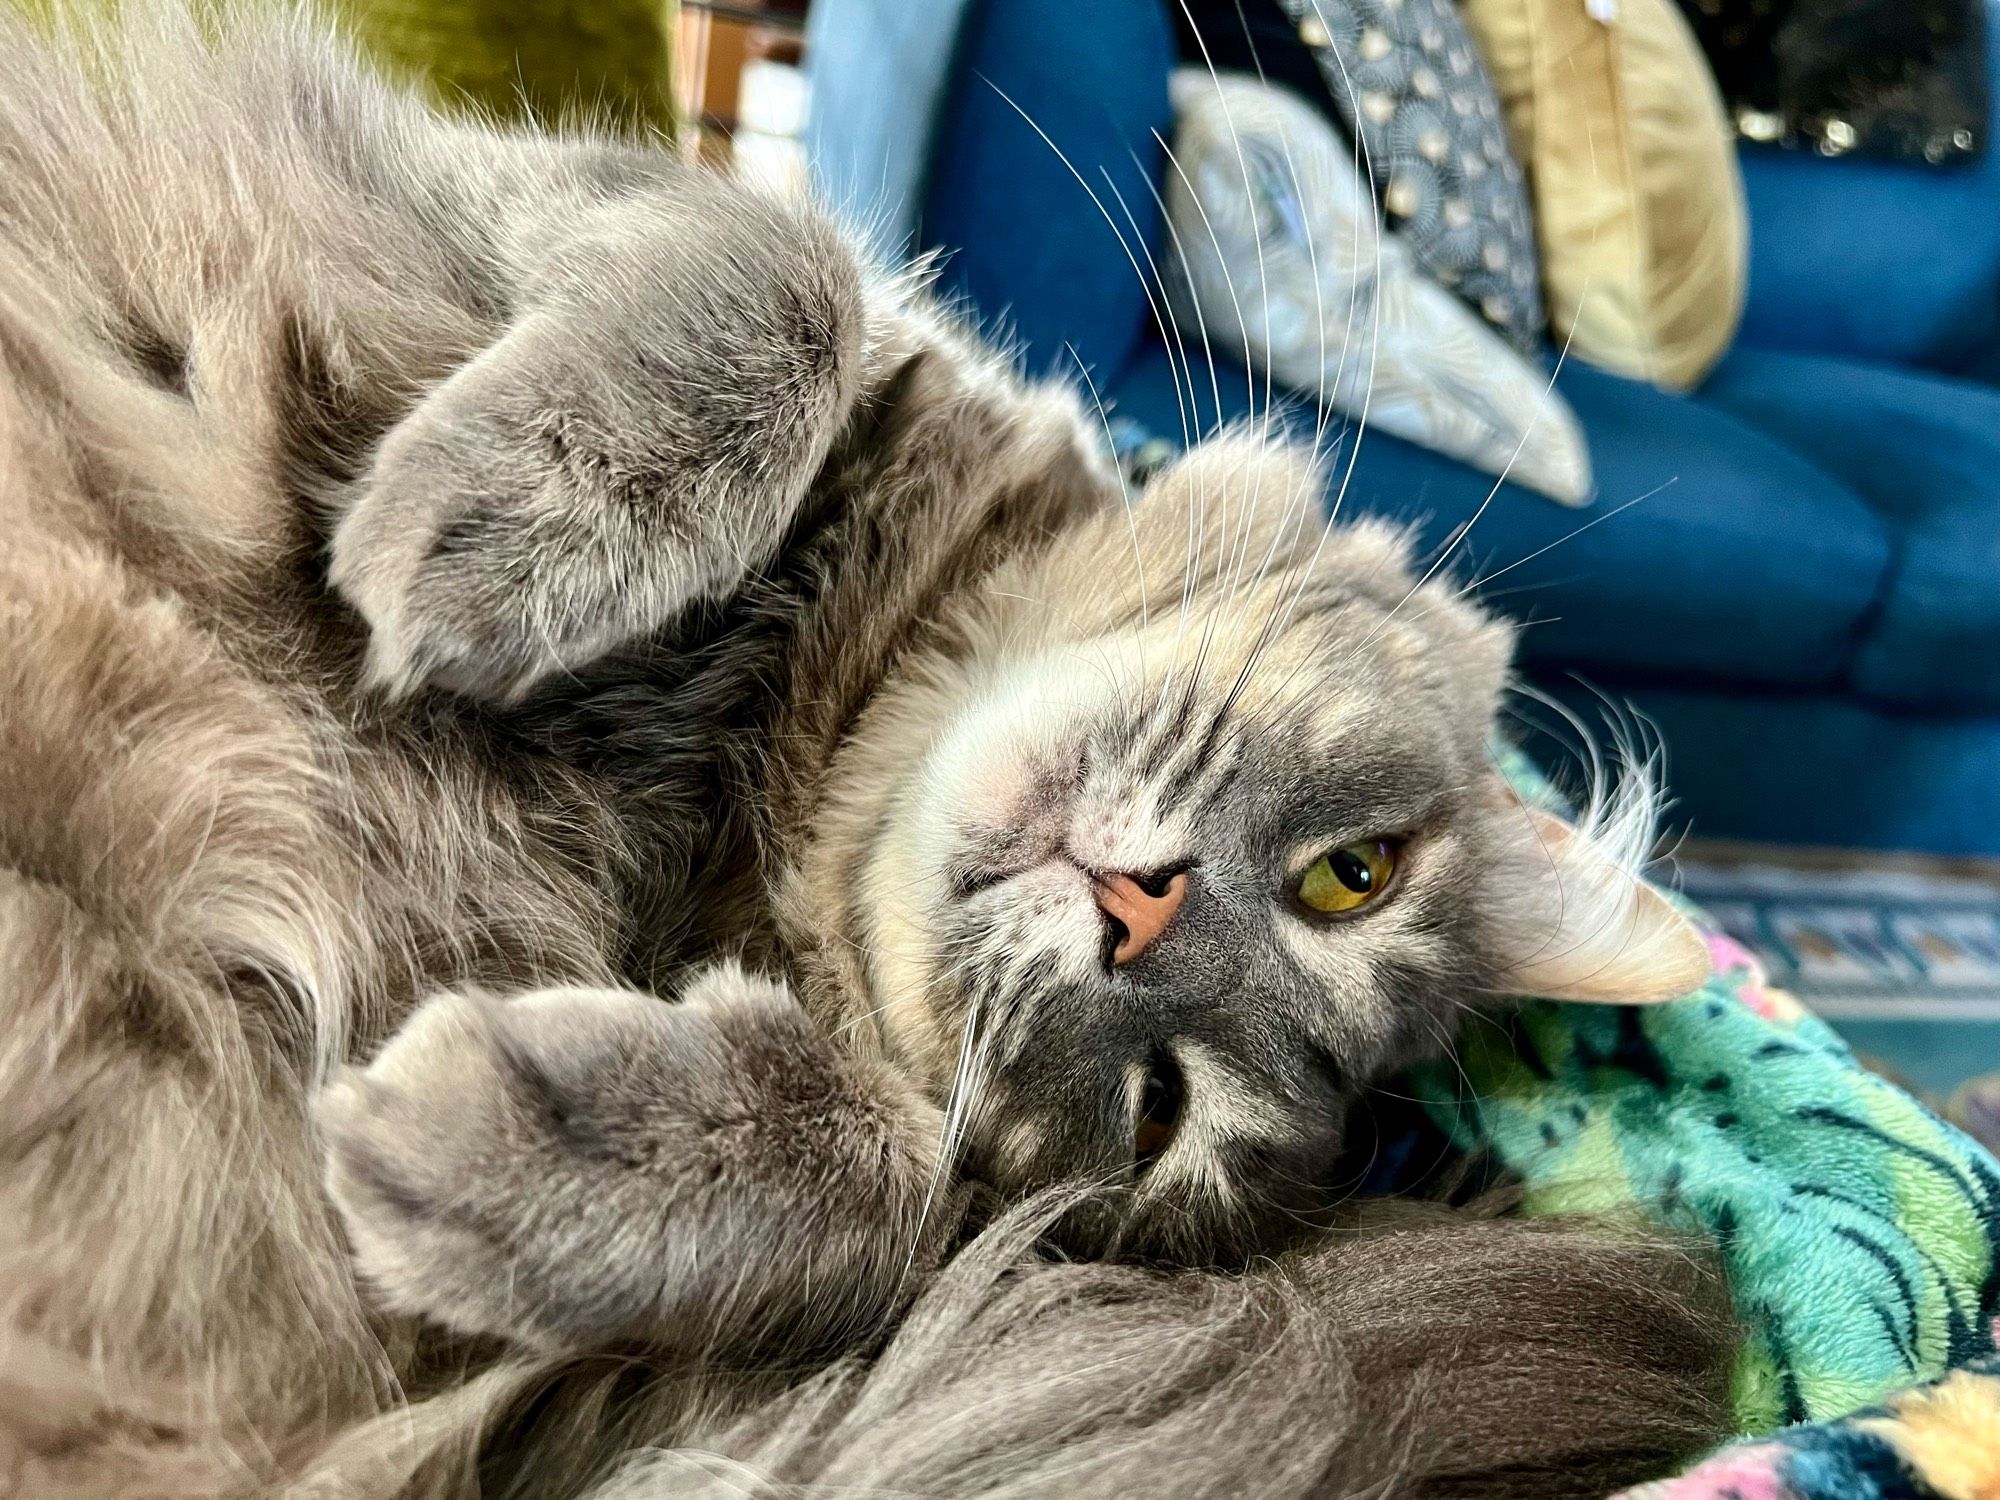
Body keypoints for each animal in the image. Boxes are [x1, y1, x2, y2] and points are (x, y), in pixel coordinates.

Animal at [0, 5, 1720, 1496]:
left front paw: (497, 1148)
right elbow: (795, 273)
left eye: (1157, 1115)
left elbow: (899, 1188)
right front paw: (498, 532)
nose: (1141, 917)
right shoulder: (585, 198)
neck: (778, 739)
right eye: (1354, 877)